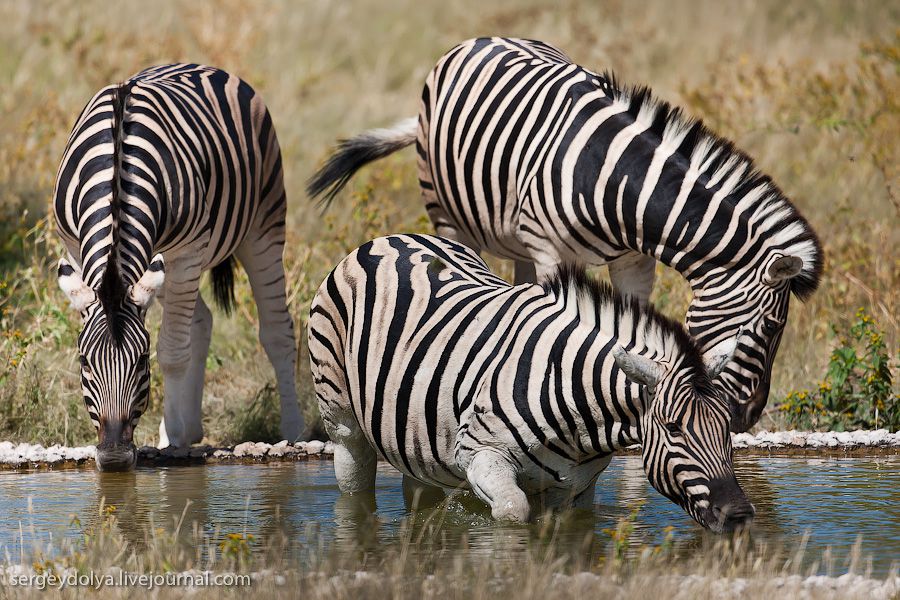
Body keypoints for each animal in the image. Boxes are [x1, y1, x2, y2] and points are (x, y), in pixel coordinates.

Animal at [56, 64, 304, 468]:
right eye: (84, 363)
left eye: (142, 362)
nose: (114, 458)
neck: (117, 166)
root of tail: (204, 67)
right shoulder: (77, 249)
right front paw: (175, 432)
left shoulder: (187, 252)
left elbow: (173, 351)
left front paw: (171, 439)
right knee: (201, 321)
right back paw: (190, 427)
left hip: (263, 223)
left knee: (277, 331)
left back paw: (294, 430)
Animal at [308, 36, 824, 432]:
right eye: (772, 327)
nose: (749, 417)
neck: (617, 181)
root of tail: (476, 40)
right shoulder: (550, 251)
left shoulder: (634, 262)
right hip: (448, 216)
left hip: (516, 243)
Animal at [310, 232, 752, 532]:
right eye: (674, 429)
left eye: (727, 428)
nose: (741, 516)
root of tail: (391, 238)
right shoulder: (480, 455)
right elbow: (513, 515)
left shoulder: (576, 489)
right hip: (342, 421)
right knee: (353, 479)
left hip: (414, 430)